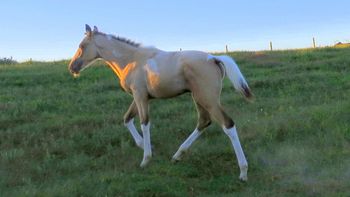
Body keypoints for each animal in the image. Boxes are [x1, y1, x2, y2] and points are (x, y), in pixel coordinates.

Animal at [68, 24, 253, 180]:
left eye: (82, 46)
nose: (72, 67)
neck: (131, 60)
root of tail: (213, 58)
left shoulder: (140, 96)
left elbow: (144, 123)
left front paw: (146, 159)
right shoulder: (140, 96)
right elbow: (127, 119)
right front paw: (144, 146)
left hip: (207, 98)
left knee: (227, 124)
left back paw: (243, 172)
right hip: (199, 98)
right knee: (204, 121)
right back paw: (177, 155)